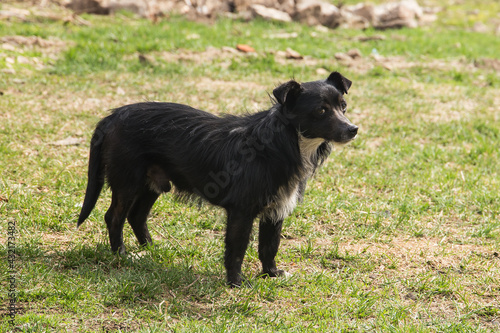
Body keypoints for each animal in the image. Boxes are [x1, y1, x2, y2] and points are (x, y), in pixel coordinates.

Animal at [78, 71, 358, 286]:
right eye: (321, 111)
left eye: (343, 107)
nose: (353, 129)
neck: (285, 142)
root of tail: (113, 115)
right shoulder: (242, 211)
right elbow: (236, 248)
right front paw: (236, 282)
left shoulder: (276, 209)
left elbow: (269, 246)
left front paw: (271, 274)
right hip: (128, 181)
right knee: (114, 216)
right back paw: (121, 254)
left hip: (152, 183)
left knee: (137, 216)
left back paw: (150, 249)